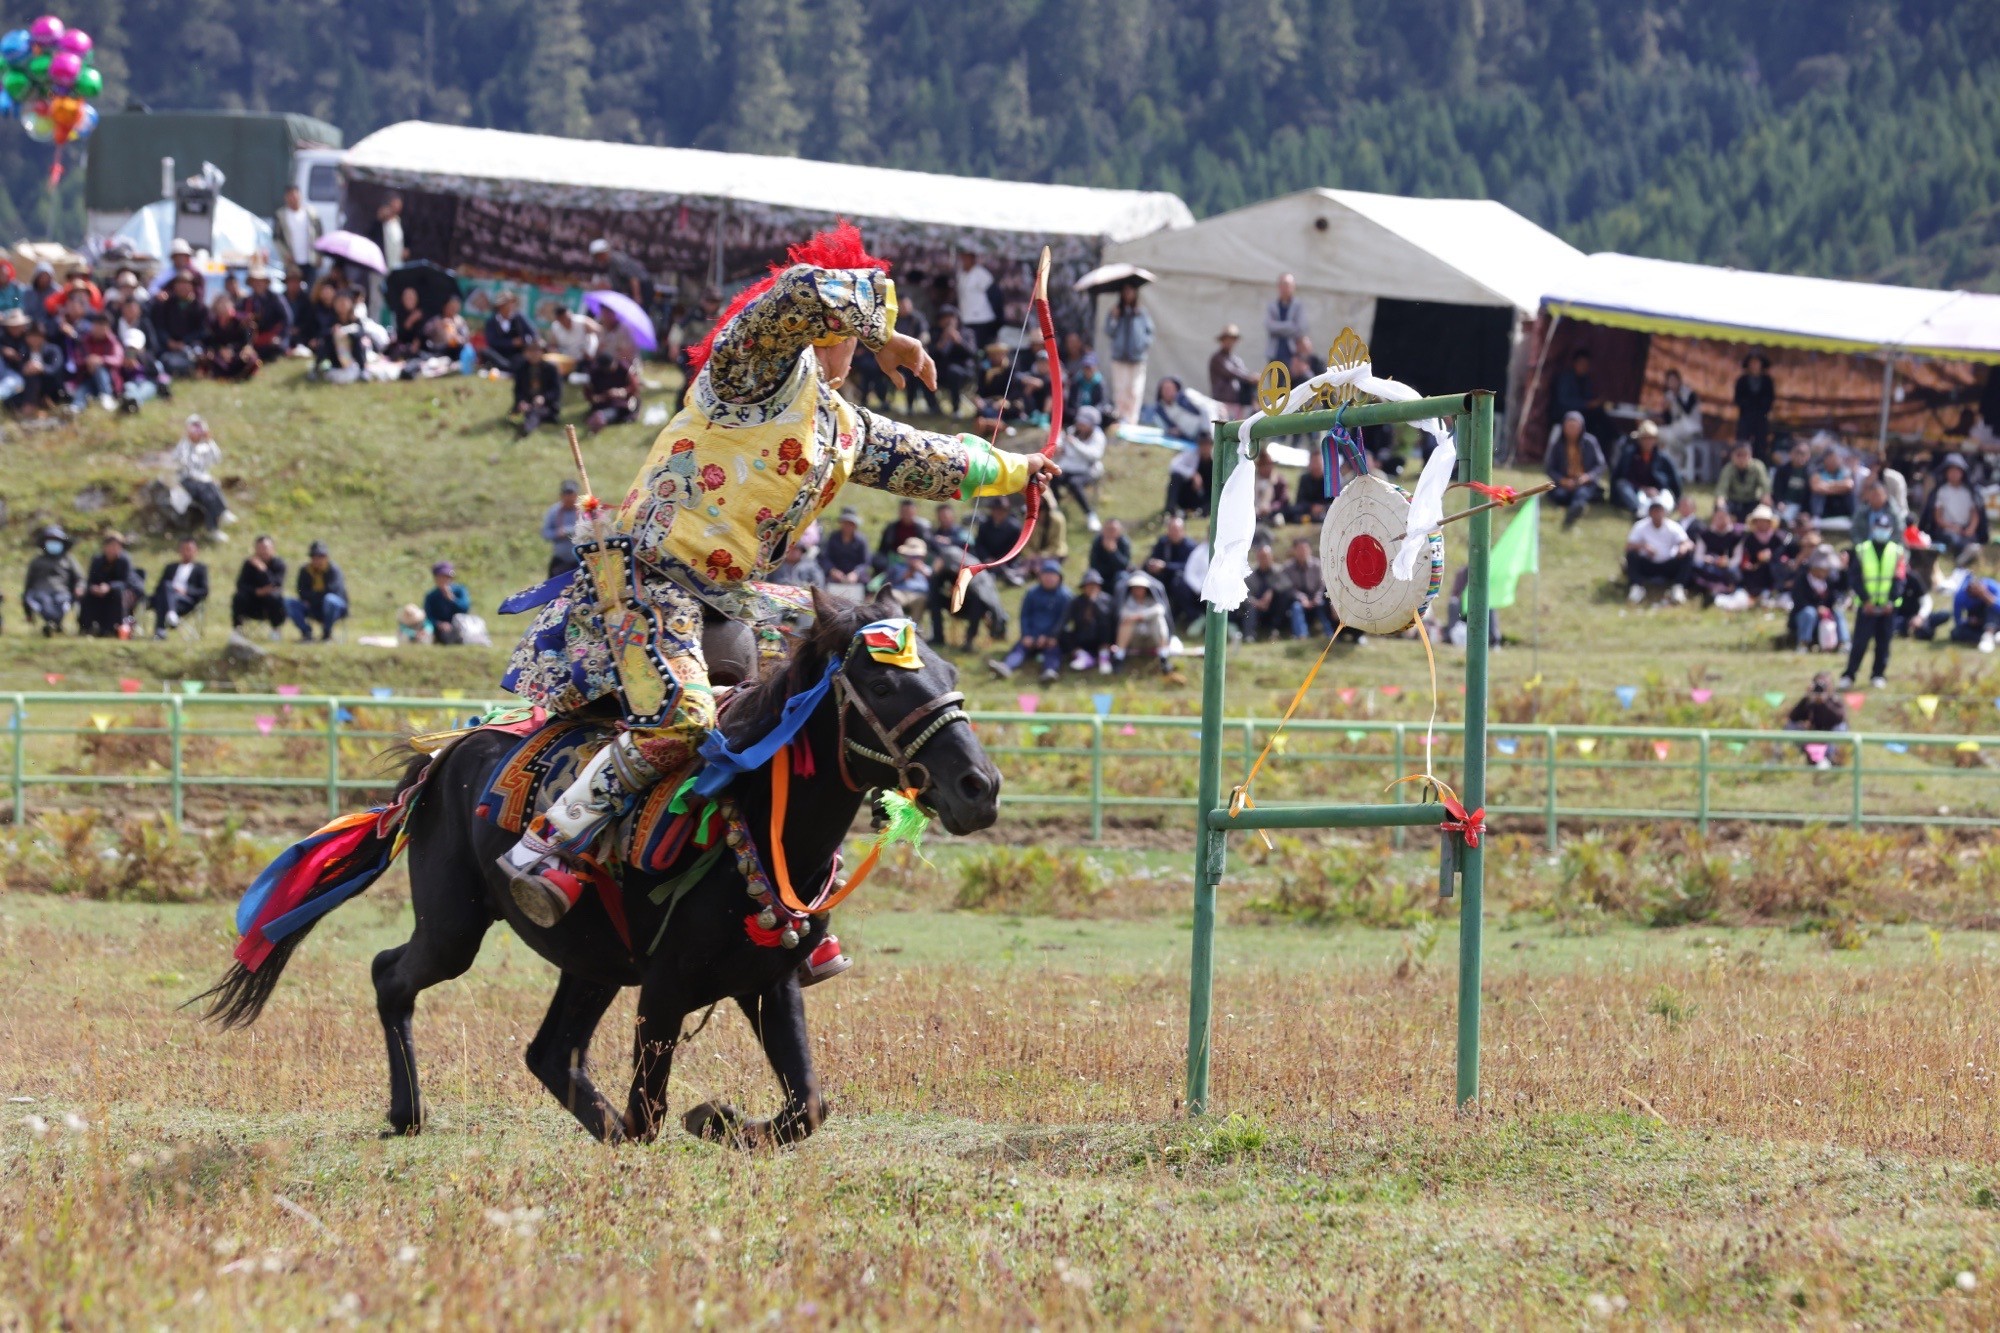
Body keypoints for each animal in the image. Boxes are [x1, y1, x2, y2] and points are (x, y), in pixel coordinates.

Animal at [203, 592, 1000, 1144]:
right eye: (886, 684)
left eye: (950, 671)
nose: (980, 787)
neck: (750, 814)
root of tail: (444, 757)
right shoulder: (667, 985)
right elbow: (655, 1111)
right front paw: (708, 1116)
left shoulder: (768, 979)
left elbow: (808, 1105)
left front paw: (717, 1119)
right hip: (455, 926)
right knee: (390, 975)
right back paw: (407, 1113)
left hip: (591, 959)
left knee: (550, 1053)